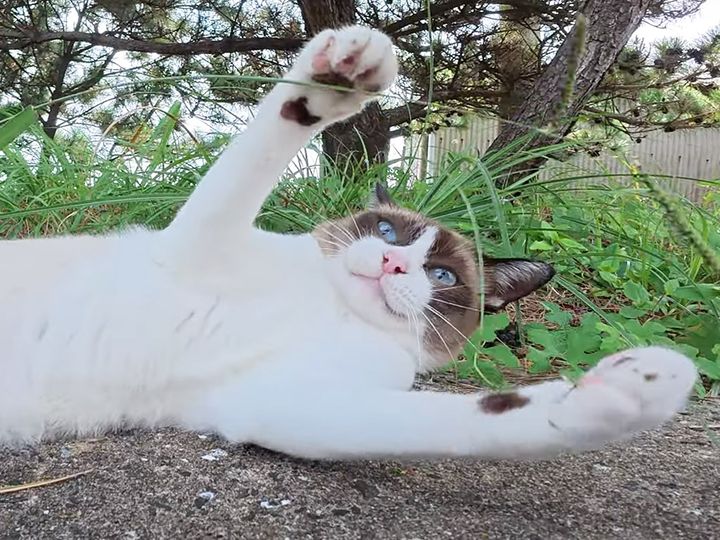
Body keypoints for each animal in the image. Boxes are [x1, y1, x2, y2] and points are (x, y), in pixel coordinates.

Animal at [0, 26, 697, 460]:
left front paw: (613, 401)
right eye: (387, 232)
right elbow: (267, 144)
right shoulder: (199, 242)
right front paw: (335, 80)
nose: (391, 262)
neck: (331, 307)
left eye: (442, 277)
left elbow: (467, 424)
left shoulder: (282, 403)